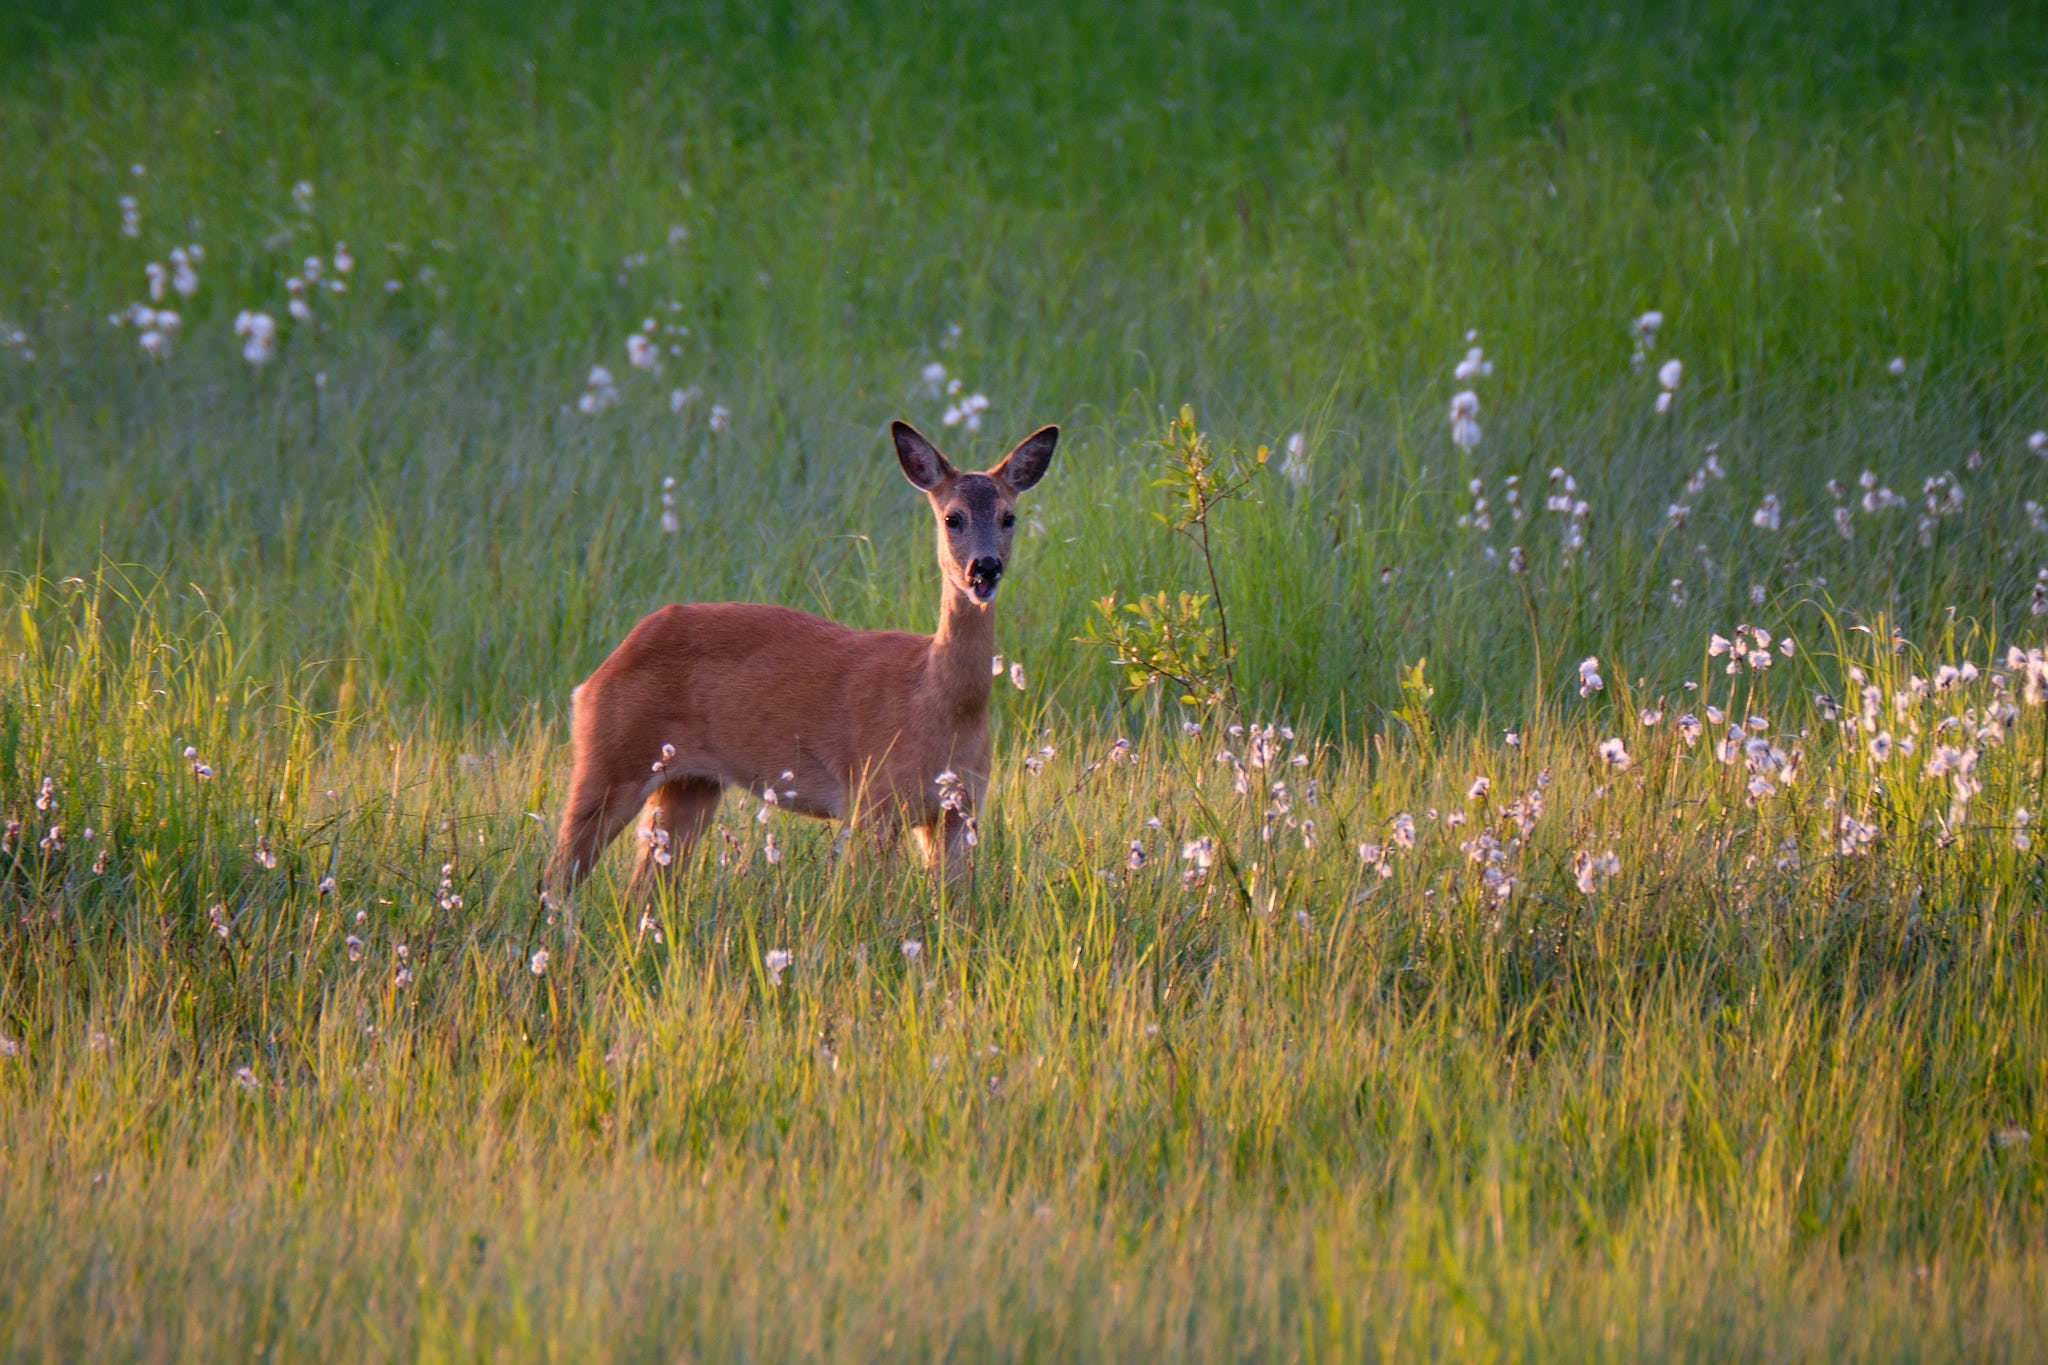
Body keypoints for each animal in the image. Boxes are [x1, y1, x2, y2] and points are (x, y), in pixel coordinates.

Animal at [545, 419, 1058, 899]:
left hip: (691, 785)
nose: (984, 568)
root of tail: (599, 672)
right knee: (557, 877)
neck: (936, 704)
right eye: (952, 517)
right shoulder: (870, 799)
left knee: (643, 890)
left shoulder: (962, 810)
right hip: (609, 756)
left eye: (1009, 516)